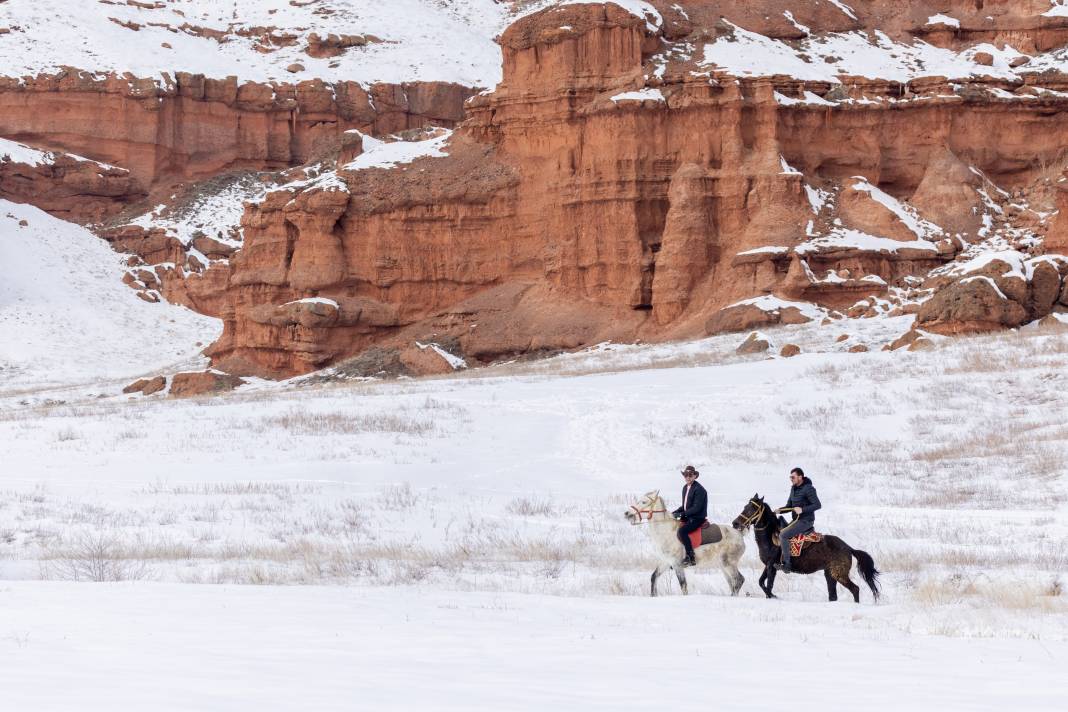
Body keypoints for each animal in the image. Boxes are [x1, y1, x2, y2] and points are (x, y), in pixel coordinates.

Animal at [730, 499, 880, 606]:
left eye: (752, 508)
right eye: (745, 506)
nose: (735, 523)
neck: (771, 537)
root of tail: (849, 548)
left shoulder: (772, 567)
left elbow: (768, 585)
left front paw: (773, 596)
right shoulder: (768, 565)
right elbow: (761, 582)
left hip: (839, 574)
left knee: (855, 589)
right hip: (829, 574)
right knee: (833, 595)